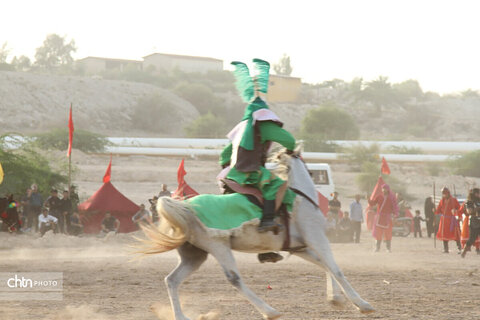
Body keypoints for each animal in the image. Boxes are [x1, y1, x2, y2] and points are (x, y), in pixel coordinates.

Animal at [139, 151, 376, 318]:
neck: (300, 198)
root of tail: (185, 207)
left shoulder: (300, 247)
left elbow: (324, 265)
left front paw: (336, 299)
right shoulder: (317, 238)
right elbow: (336, 269)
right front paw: (363, 304)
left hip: (195, 255)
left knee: (172, 280)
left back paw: (182, 316)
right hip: (218, 246)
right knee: (234, 279)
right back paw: (270, 311)